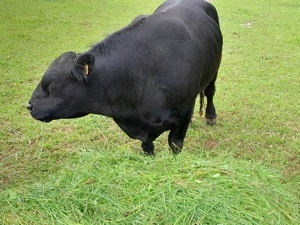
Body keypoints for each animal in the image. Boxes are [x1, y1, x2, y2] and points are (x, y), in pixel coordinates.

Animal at [27, 0, 221, 155]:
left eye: (51, 86)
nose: (29, 106)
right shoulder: (144, 133)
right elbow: (148, 149)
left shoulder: (183, 115)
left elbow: (175, 144)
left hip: (214, 69)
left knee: (210, 92)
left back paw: (211, 116)